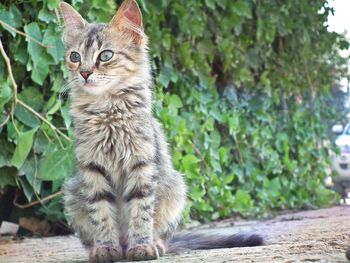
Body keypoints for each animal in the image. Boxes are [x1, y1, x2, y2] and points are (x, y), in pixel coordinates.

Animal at [60, 1, 262, 262]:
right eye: (75, 57)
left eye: (105, 55)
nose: (84, 73)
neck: (108, 112)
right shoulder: (92, 169)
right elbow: (102, 214)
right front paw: (105, 248)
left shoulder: (142, 165)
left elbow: (141, 213)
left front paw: (141, 247)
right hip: (72, 192)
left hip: (175, 186)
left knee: (161, 236)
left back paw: (151, 245)